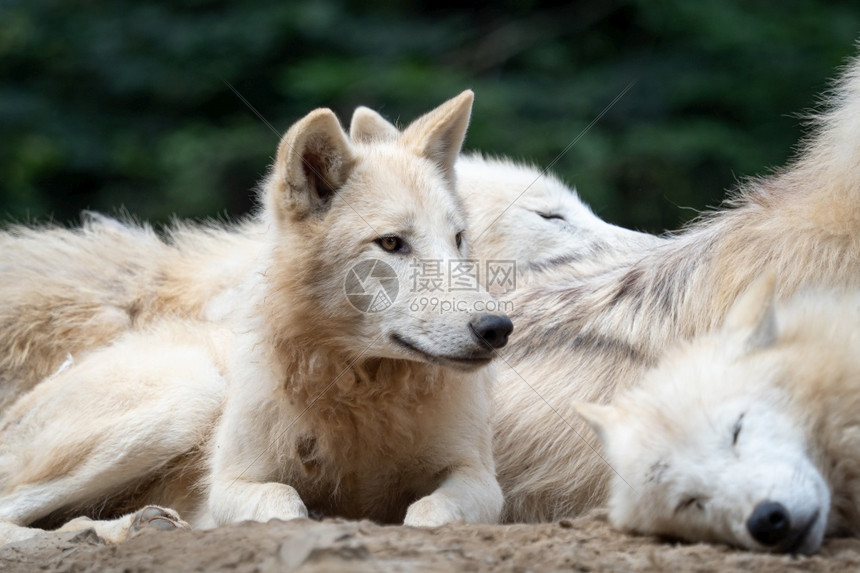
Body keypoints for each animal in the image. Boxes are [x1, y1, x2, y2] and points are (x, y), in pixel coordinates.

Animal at [0, 91, 510, 544]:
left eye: (458, 239)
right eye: (390, 243)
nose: (497, 328)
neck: (361, 396)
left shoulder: (479, 478)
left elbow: (430, 511)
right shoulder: (233, 485)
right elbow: (283, 503)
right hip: (191, 393)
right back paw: (129, 529)